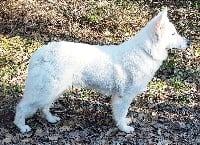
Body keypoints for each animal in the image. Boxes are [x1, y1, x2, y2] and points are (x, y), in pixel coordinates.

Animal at [14, 7, 191, 133]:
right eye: (173, 34)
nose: (189, 43)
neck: (146, 51)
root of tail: (40, 52)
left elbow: (120, 114)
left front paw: (123, 123)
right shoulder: (123, 97)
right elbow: (121, 113)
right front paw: (124, 128)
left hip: (55, 89)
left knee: (44, 107)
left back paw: (50, 119)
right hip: (45, 90)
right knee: (22, 107)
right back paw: (21, 127)